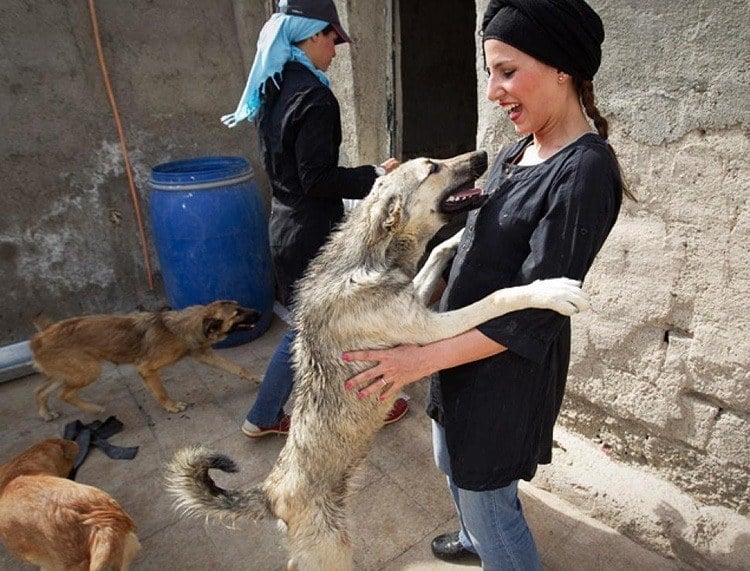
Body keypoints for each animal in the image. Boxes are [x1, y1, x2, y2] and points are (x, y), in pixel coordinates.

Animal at [30, 302, 262, 422]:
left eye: (240, 306)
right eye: (237, 313)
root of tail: (40, 337)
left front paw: (258, 377)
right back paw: (94, 409)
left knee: (40, 391)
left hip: (67, 372)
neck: (184, 326)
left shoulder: (204, 354)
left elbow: (238, 368)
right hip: (89, 371)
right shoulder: (147, 369)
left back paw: (46, 413)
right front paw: (171, 406)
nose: (259, 312)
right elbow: (161, 392)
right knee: (64, 394)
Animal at [166, 152, 592, 571]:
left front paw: (457, 238)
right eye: (432, 167)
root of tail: (271, 493)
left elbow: (436, 251)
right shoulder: (430, 326)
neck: (371, 258)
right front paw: (550, 290)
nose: (484, 154)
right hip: (333, 551)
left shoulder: (415, 297)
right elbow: (499, 297)